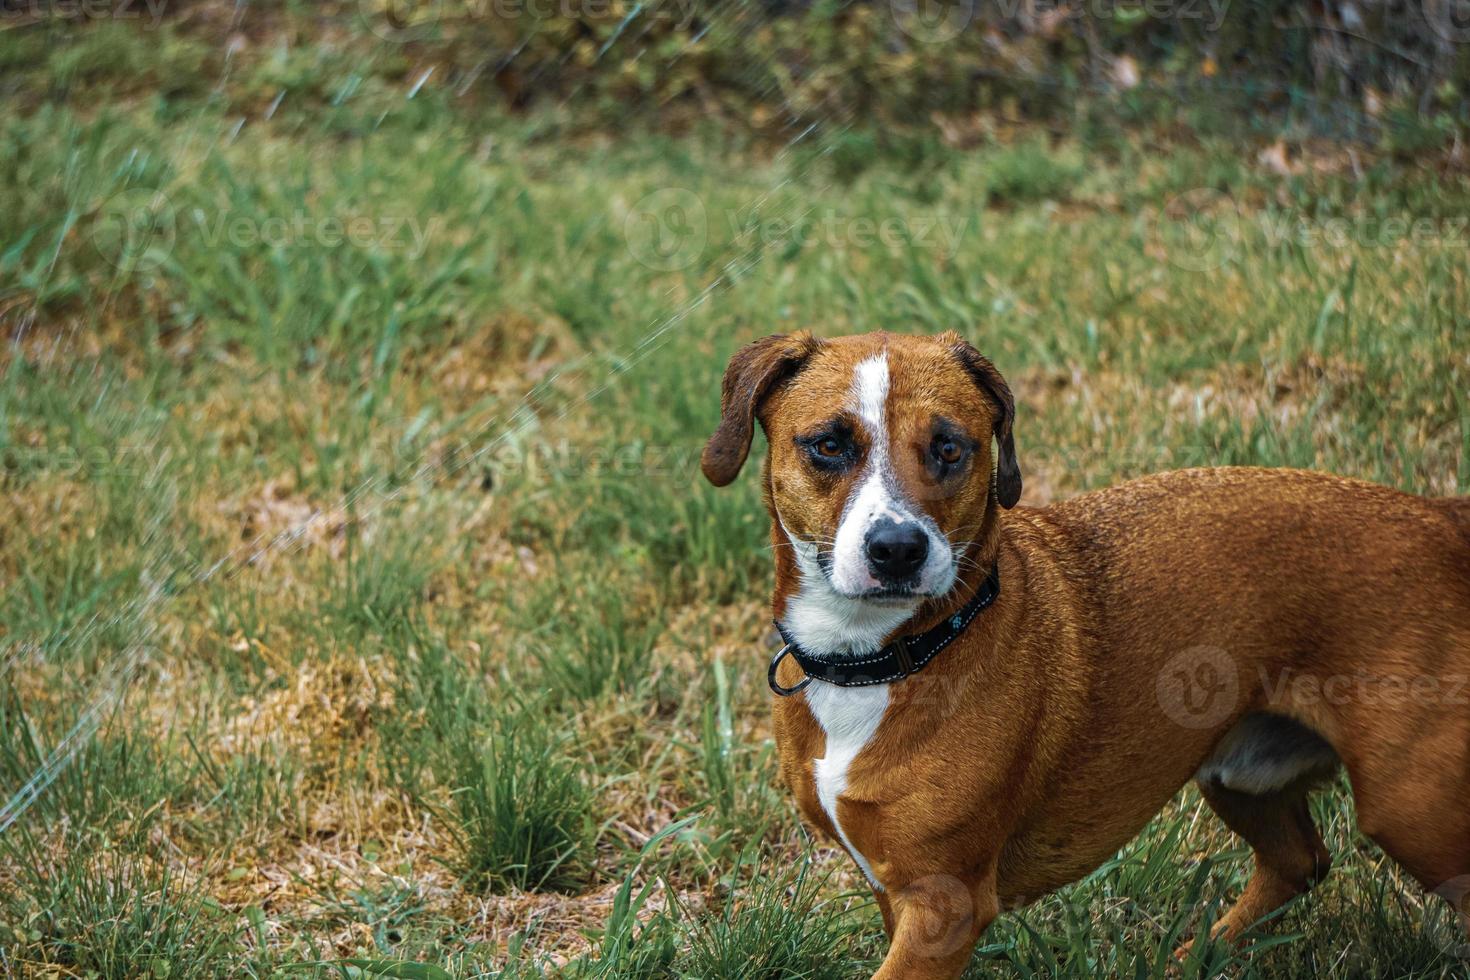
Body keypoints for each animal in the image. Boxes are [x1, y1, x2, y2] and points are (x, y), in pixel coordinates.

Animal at [696, 332, 1470, 980]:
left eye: (950, 448)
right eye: (829, 445)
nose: (897, 549)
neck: (880, 658)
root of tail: (1440, 518)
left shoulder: (944, 906)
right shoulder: (899, 892)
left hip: (1414, 814)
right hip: (1239, 773)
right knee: (1300, 861)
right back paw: (1201, 956)